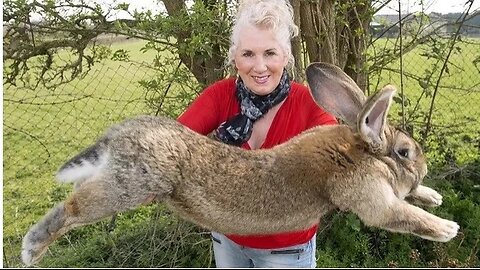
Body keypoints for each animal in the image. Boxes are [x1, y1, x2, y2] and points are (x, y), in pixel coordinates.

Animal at [21, 62, 458, 266]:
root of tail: (118, 136)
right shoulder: (371, 198)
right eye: (405, 152)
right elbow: (401, 215)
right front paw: (447, 228)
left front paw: (433, 195)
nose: (423, 168)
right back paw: (32, 249)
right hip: (130, 186)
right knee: (72, 207)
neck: (359, 150)